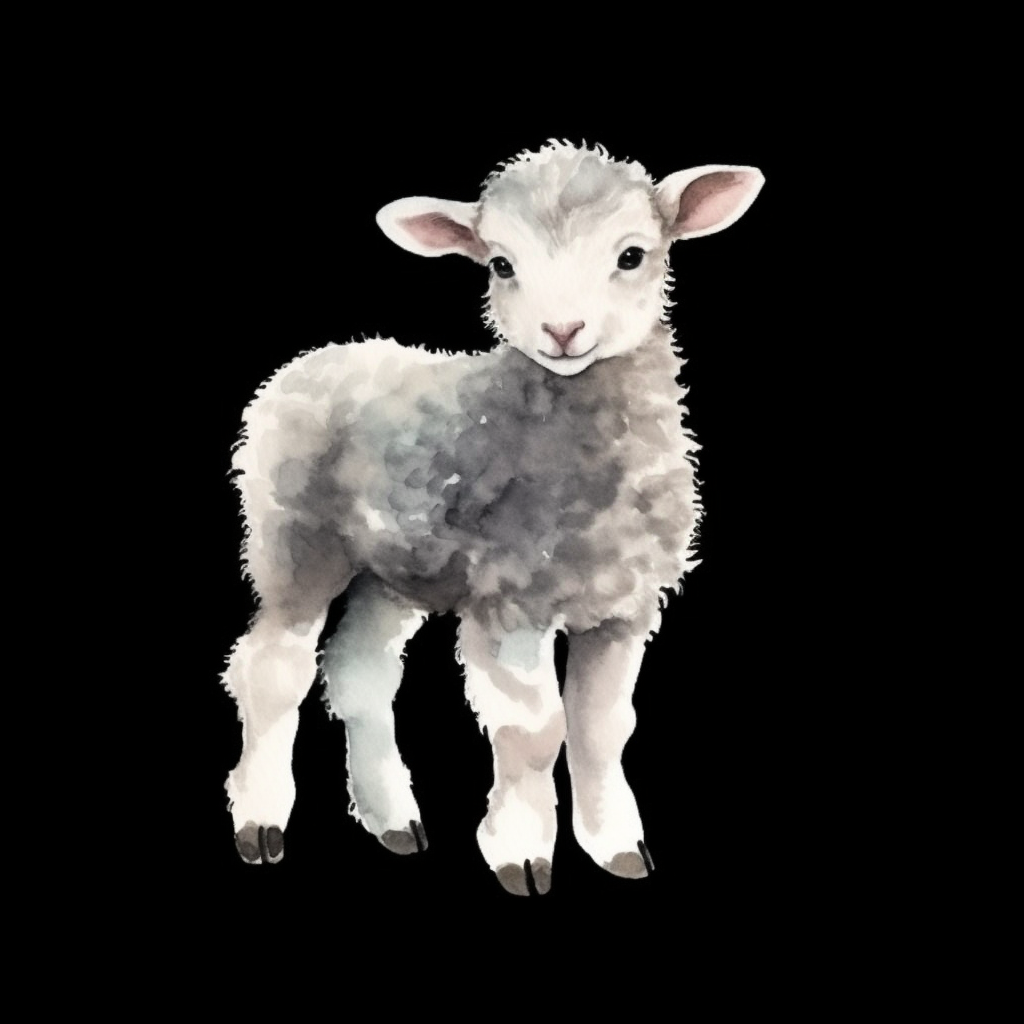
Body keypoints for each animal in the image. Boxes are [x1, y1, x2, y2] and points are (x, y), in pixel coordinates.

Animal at [222, 140, 764, 894]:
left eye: (633, 255)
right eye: (502, 264)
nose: (562, 332)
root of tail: (313, 359)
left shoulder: (623, 607)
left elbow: (603, 725)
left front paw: (617, 846)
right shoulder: (510, 600)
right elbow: (533, 731)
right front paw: (522, 853)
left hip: (390, 572)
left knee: (360, 673)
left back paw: (394, 821)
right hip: (295, 542)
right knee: (272, 669)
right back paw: (261, 822)